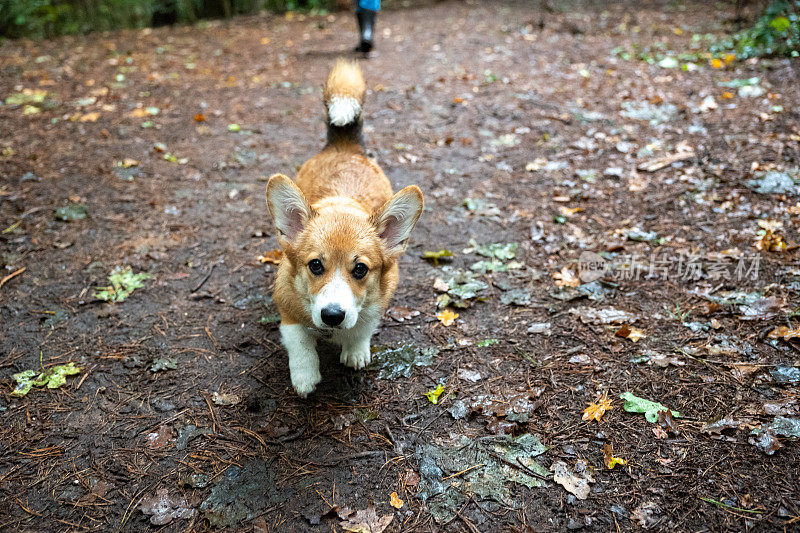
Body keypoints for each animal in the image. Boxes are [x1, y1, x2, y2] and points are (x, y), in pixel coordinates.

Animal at [266, 60, 422, 396]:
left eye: (360, 269)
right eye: (315, 265)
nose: (333, 316)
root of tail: (344, 144)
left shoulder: (376, 304)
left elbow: (361, 328)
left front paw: (355, 351)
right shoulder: (287, 311)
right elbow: (300, 344)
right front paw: (305, 378)